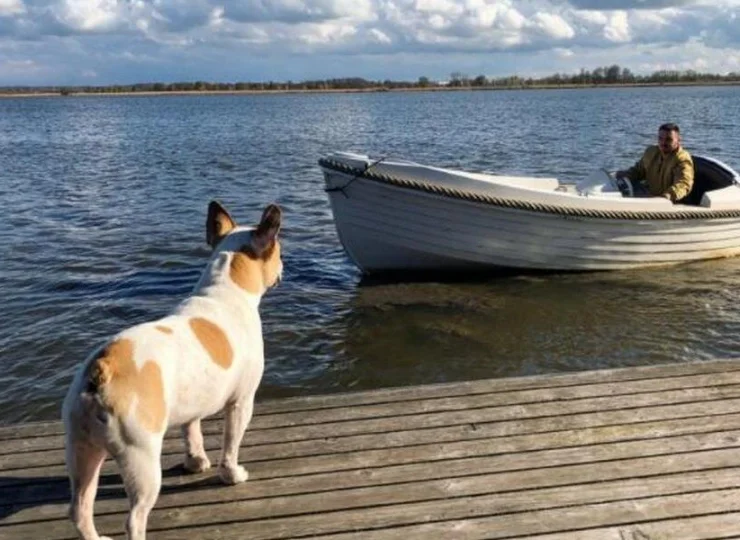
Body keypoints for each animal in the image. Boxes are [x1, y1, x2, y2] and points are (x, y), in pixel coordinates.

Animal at [62, 201, 282, 540]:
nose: (284, 267)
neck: (224, 288)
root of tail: (102, 368)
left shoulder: (191, 408)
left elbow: (192, 433)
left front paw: (196, 462)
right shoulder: (242, 403)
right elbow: (231, 444)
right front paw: (231, 474)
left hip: (82, 449)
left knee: (80, 509)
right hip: (140, 460)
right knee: (134, 519)